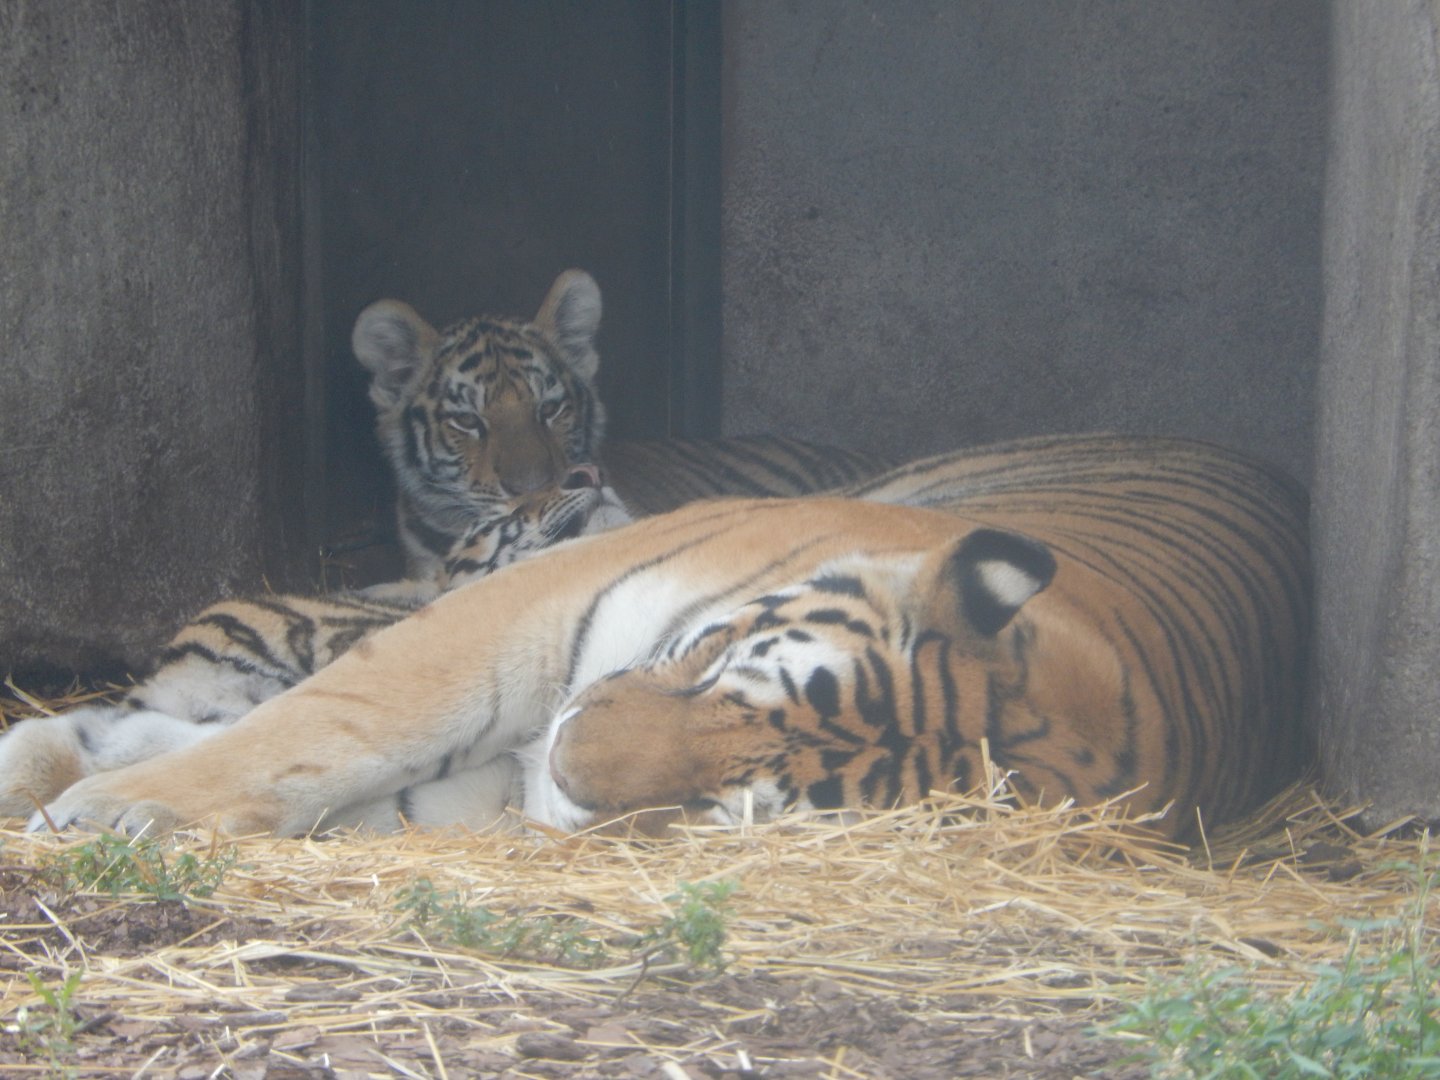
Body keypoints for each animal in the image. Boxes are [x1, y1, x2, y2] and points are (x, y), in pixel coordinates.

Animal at [19, 434, 1310, 843]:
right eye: (731, 672)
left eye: (739, 801)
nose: (568, 756)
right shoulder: (521, 609)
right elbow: (330, 724)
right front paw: (112, 805)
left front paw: (91, 777)